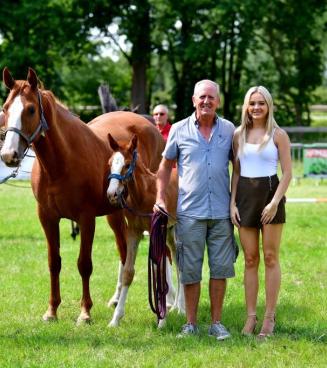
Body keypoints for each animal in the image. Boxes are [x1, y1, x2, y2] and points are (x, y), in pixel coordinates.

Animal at [0, 67, 164, 324]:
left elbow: (84, 264)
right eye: (6, 108)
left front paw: (85, 312)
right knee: (123, 251)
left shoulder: (86, 219)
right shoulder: (47, 218)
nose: (9, 155)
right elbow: (54, 262)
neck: (60, 163)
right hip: (116, 214)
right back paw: (116, 298)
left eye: (31, 109)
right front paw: (52, 310)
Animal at [107, 134, 184, 326]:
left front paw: (162, 319)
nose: (112, 194)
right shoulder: (133, 232)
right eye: (110, 162)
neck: (142, 195)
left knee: (181, 264)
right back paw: (177, 306)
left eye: (127, 164)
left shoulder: (155, 232)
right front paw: (115, 319)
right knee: (176, 259)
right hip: (169, 232)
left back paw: (181, 308)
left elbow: (158, 271)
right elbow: (128, 272)